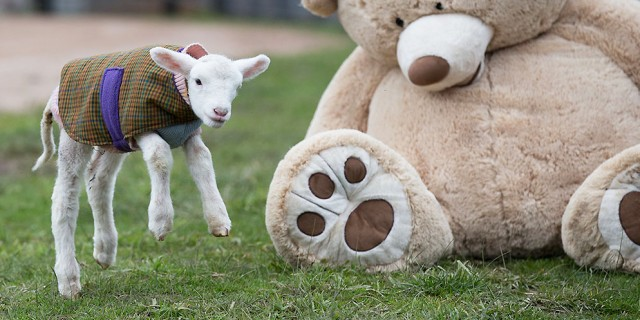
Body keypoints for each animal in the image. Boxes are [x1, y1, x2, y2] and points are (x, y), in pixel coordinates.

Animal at [32, 42, 270, 298]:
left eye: (237, 87)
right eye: (197, 81)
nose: (220, 112)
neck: (176, 90)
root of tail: (55, 91)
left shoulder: (189, 135)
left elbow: (203, 161)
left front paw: (218, 220)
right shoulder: (140, 127)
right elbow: (159, 155)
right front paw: (160, 221)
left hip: (112, 140)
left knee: (99, 181)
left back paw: (104, 250)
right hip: (77, 133)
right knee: (64, 197)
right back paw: (68, 280)